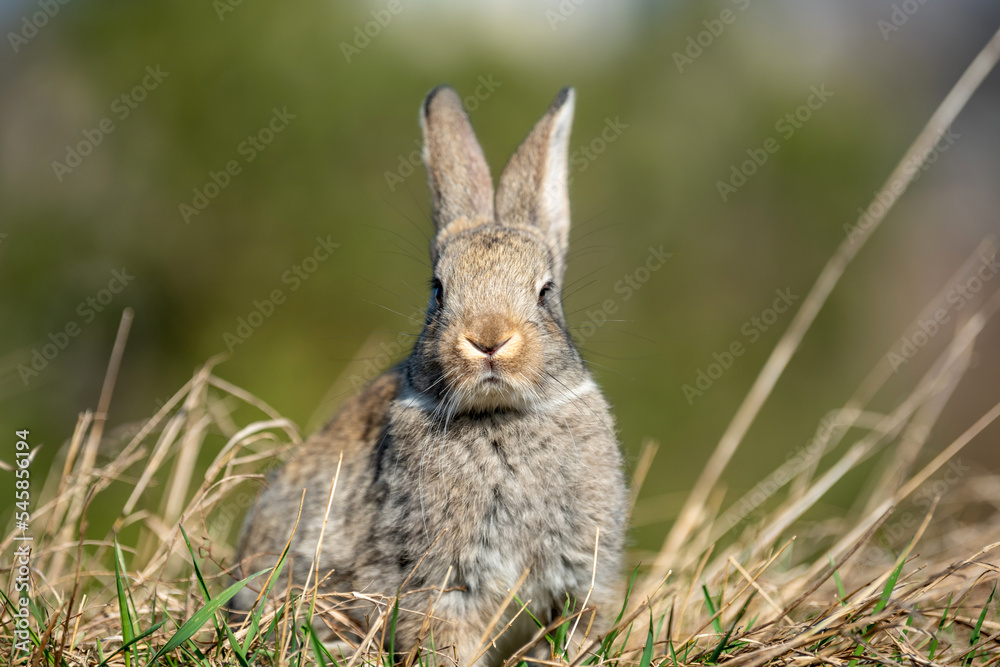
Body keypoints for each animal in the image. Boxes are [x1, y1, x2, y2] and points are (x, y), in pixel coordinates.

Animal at [230, 86, 628, 664]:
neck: (498, 417)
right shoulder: (438, 587)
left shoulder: (583, 579)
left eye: (546, 291)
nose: (489, 339)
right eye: (438, 291)